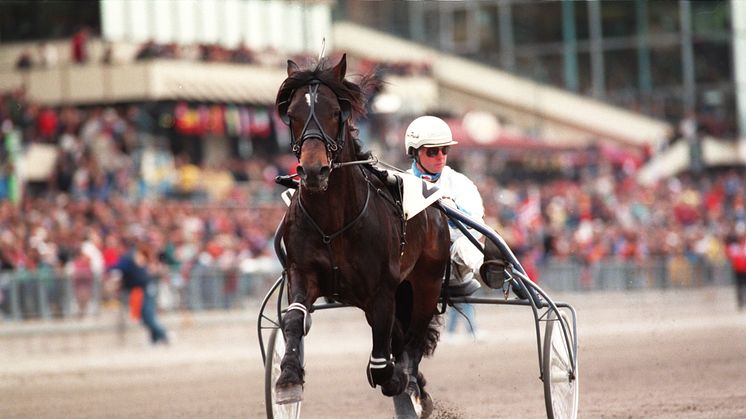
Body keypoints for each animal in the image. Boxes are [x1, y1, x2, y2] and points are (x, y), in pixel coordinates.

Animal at [274, 53, 448, 416]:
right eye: (292, 115)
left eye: (335, 113)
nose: (314, 171)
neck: (333, 223)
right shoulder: (303, 271)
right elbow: (294, 320)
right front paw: (288, 379)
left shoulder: (382, 289)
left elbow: (382, 365)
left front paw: (396, 378)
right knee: (400, 337)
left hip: (426, 283)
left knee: (411, 341)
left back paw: (411, 382)